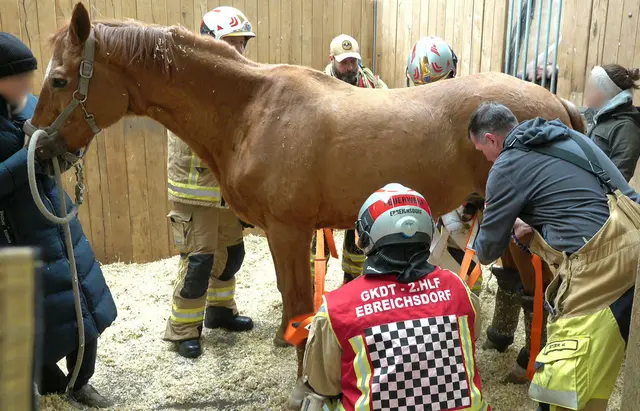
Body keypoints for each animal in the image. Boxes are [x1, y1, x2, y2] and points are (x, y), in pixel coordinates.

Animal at [31, 3, 583, 375]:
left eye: (59, 80)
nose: (38, 150)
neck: (252, 109)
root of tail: (556, 106)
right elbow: (287, 293)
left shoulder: (288, 230)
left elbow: (298, 298)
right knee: (524, 287)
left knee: (538, 288)